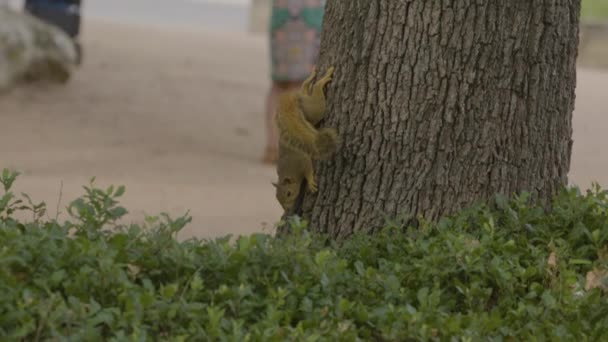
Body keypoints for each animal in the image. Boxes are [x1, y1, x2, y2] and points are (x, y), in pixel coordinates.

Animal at [274, 66, 340, 211]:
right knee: (304, 88)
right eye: (277, 199)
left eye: (289, 193)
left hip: (313, 109)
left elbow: (308, 169)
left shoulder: (301, 162)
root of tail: (296, 98)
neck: (288, 170)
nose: (287, 210)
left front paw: (310, 183)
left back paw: (321, 81)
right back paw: (309, 79)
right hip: (308, 113)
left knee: (316, 92)